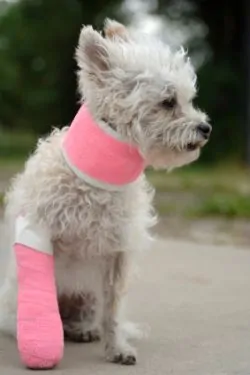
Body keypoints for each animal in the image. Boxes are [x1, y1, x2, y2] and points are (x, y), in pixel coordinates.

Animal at [0, 19, 211, 366]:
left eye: (189, 99)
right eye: (168, 102)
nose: (205, 128)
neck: (97, 182)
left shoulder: (117, 255)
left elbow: (112, 310)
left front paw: (117, 348)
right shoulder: (40, 235)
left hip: (87, 295)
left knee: (91, 313)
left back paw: (84, 328)